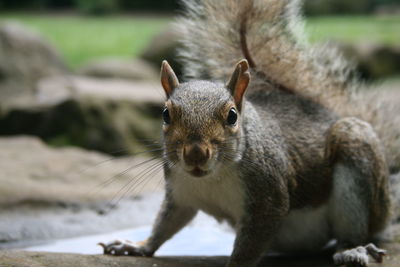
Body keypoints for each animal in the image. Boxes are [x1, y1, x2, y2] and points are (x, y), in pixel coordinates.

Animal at [97, 0, 400, 267]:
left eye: (232, 116)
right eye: (165, 115)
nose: (195, 154)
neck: (213, 177)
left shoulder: (268, 196)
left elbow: (252, 242)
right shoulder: (181, 193)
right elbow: (167, 223)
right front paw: (137, 246)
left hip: (357, 157)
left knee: (354, 229)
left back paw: (353, 249)